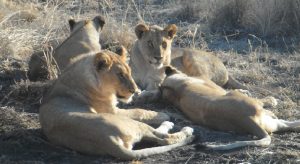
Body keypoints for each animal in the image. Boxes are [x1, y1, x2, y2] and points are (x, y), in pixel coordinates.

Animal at [38, 48, 193, 159]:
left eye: (129, 72)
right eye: (120, 75)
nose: (135, 90)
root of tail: (106, 140)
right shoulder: (113, 110)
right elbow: (139, 111)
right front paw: (161, 114)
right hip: (132, 123)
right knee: (164, 138)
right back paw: (183, 129)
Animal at [161, 66, 298, 151]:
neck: (176, 89)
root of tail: (245, 119)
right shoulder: (219, 88)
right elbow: (260, 99)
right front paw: (270, 100)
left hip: (271, 124)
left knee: (288, 124)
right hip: (240, 99)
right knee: (275, 115)